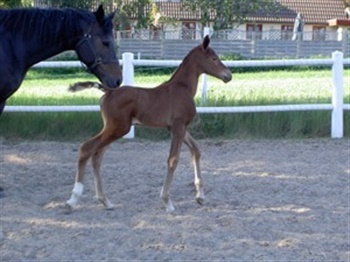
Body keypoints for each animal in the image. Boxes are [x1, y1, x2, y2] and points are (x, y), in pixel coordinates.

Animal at [66, 35, 231, 213]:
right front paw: (167, 202)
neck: (182, 88)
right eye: (214, 58)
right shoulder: (178, 127)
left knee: (97, 155)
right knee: (87, 148)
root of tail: (108, 91)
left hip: (113, 129)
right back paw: (73, 199)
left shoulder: (178, 128)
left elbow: (196, 151)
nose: (228, 76)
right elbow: (173, 159)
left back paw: (105, 201)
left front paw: (200, 197)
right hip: (118, 128)